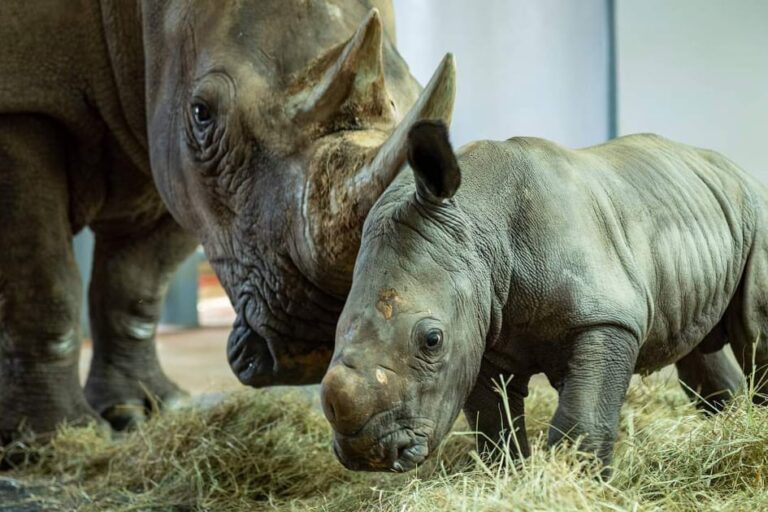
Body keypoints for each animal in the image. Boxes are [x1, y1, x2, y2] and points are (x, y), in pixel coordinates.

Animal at [0, 0, 455, 439]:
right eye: (202, 113)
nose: (313, 347)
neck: (135, 14)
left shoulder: (165, 144)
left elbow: (137, 281)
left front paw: (142, 411)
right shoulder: (23, 103)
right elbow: (45, 281)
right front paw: (54, 436)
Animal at [320, 120, 767, 472]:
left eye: (432, 339)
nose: (368, 454)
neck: (480, 226)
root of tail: (736, 171)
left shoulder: (605, 316)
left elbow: (584, 415)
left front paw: (576, 478)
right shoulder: (482, 331)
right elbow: (493, 422)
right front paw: (509, 477)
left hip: (757, 212)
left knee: (753, 332)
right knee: (695, 346)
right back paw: (727, 421)